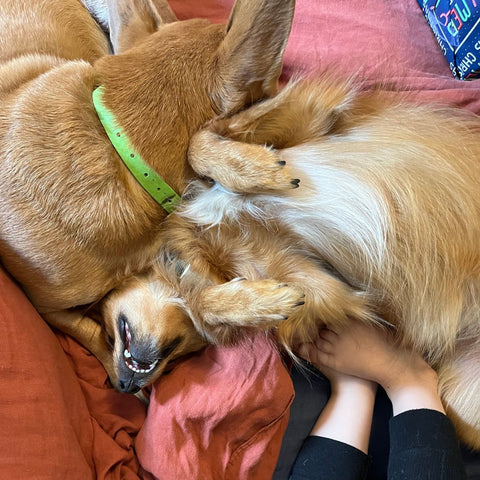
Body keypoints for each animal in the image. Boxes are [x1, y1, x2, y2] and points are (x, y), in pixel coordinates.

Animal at [102, 78, 480, 450]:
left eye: (109, 335)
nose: (123, 388)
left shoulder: (316, 115)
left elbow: (202, 138)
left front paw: (257, 170)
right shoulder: (321, 283)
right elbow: (216, 299)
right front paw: (260, 302)